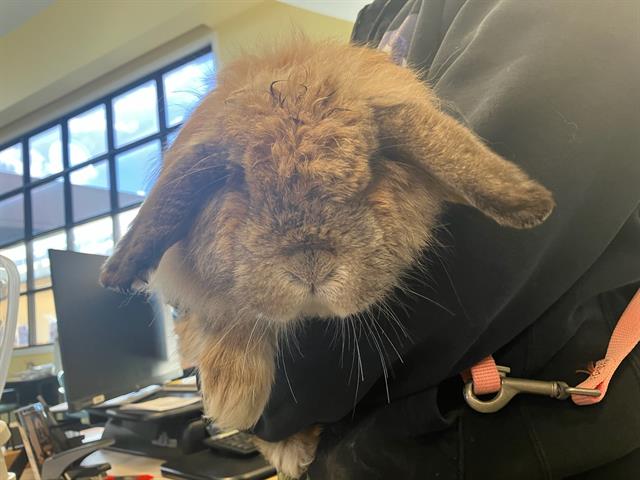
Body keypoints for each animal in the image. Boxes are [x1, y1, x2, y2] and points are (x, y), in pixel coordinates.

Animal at [100, 40, 556, 476]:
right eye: (237, 181)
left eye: (372, 169)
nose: (311, 267)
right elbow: (231, 320)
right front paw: (237, 390)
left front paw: (265, 424)